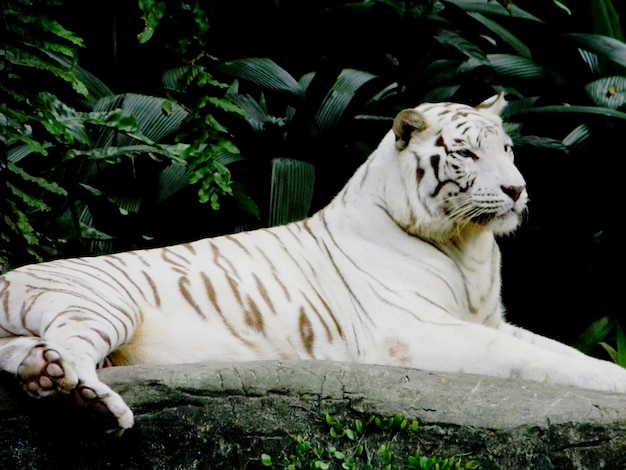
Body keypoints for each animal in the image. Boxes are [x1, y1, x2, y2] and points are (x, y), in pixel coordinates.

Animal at [1, 94, 624, 434]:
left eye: (508, 150)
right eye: (468, 153)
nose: (517, 190)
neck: (469, 247)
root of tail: (7, 279)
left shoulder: (492, 320)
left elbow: (562, 351)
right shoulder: (419, 334)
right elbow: (531, 362)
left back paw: (41, 376)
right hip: (103, 304)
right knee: (72, 347)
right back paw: (92, 402)